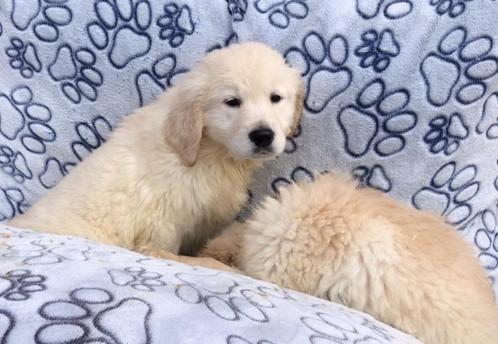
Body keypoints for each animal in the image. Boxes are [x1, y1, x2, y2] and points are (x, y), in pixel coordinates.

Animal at [8, 41, 304, 270]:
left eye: (276, 98)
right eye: (232, 102)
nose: (263, 135)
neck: (208, 151)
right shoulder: (162, 223)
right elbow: (173, 251)